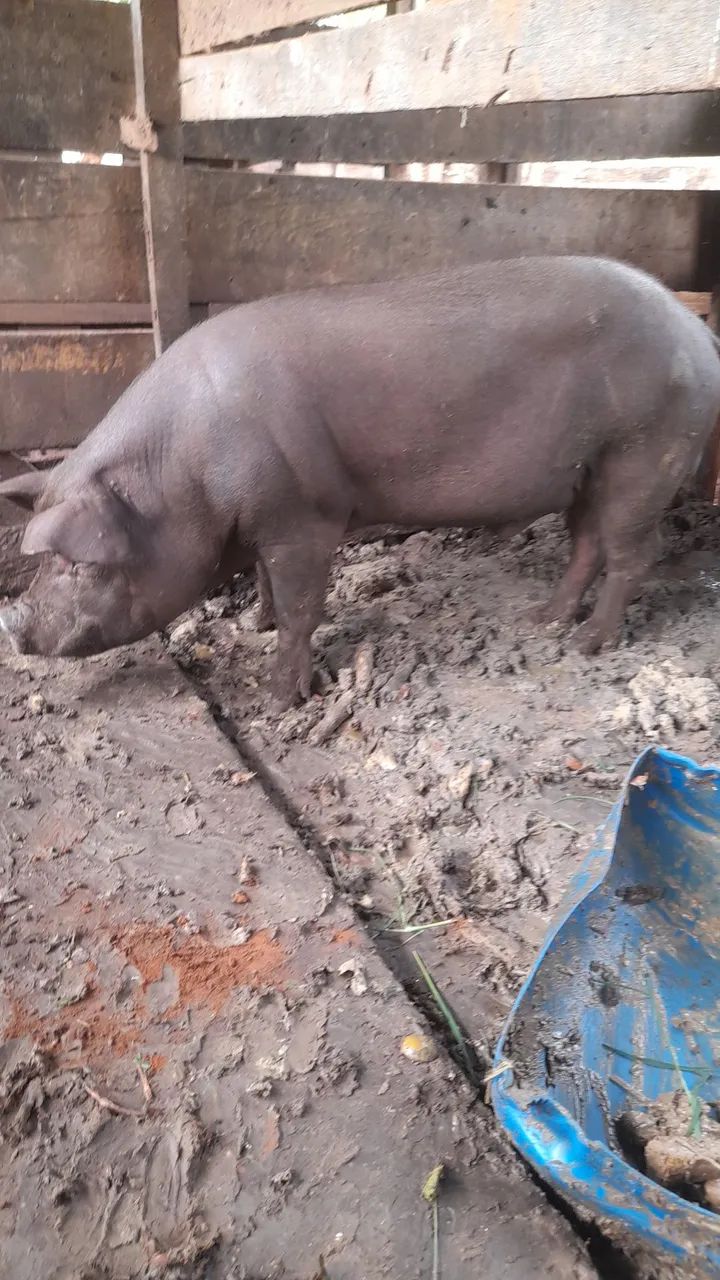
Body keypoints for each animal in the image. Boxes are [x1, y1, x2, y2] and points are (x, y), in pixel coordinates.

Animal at [1, 255, 719, 707]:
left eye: (76, 565)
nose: (11, 622)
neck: (180, 475)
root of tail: (696, 331)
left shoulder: (302, 516)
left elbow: (302, 608)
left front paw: (278, 699)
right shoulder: (265, 523)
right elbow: (266, 584)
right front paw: (254, 623)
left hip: (645, 451)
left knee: (633, 552)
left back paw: (588, 643)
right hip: (590, 470)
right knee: (587, 543)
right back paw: (542, 621)